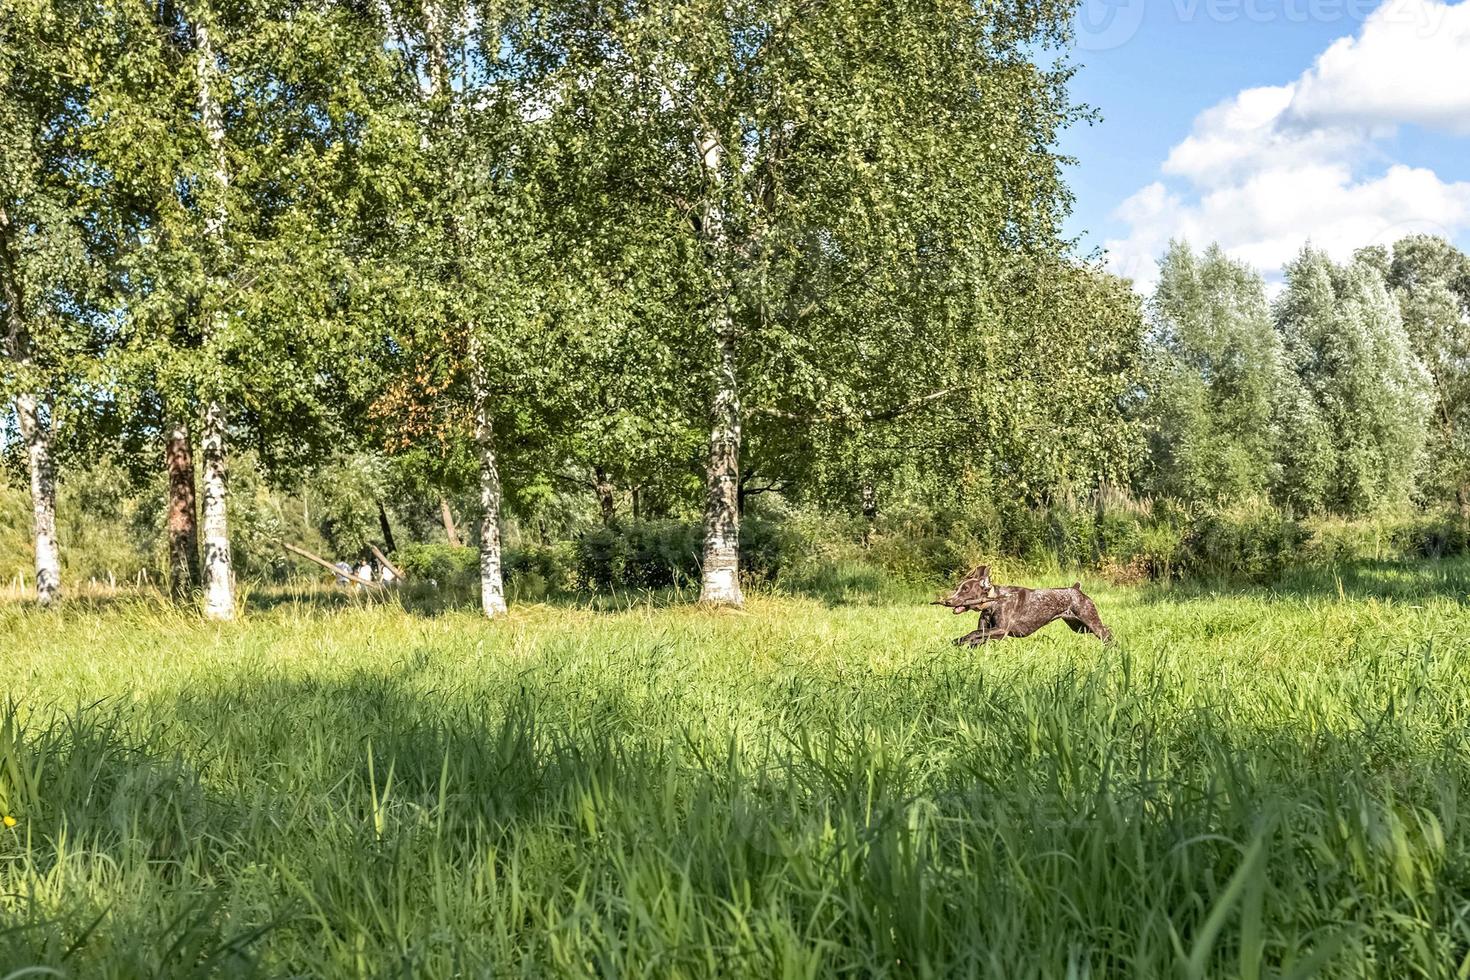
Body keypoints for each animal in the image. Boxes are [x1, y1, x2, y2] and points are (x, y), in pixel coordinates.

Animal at [934, 567, 1105, 643]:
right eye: (957, 588)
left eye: (966, 589)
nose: (948, 601)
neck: (993, 603)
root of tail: (1076, 589)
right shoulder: (987, 631)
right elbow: (976, 636)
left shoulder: (1001, 630)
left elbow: (973, 633)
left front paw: (960, 640)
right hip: (1079, 627)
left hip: (1090, 620)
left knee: (1106, 632)